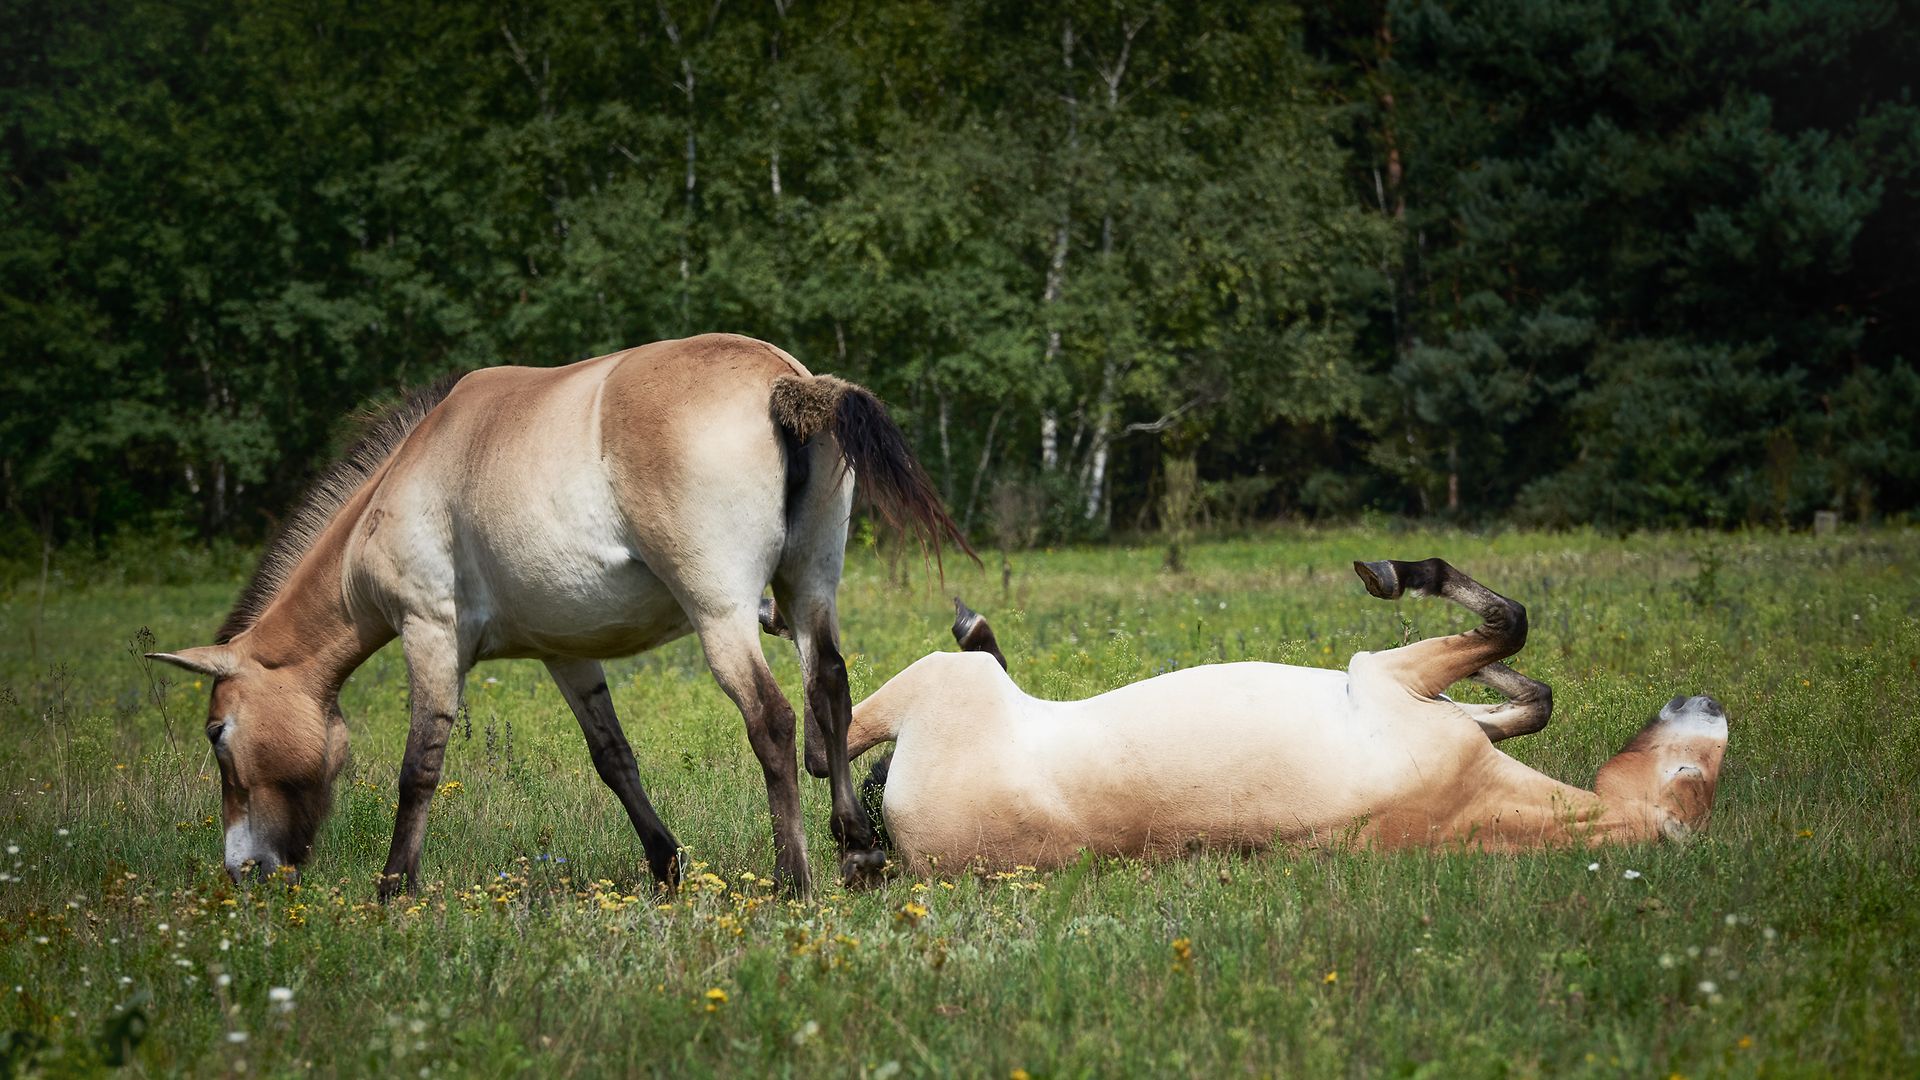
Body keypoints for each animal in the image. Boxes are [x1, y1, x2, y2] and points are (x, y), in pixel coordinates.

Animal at [148, 333, 970, 897]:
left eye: (217, 733)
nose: (245, 869)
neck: (408, 477)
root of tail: (782, 382)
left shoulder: (429, 634)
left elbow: (419, 767)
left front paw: (394, 887)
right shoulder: (566, 653)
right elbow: (614, 759)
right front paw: (665, 866)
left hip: (722, 611)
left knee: (772, 719)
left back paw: (791, 879)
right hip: (808, 591)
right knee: (829, 693)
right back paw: (856, 851)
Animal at [759, 559, 1728, 873]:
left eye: (1695, 773)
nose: (1708, 702)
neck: (1470, 808)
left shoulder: (1390, 676)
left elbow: (1507, 623)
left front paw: (1392, 574)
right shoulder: (1419, 689)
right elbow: (1529, 693)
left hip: (941, 688)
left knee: (823, 745)